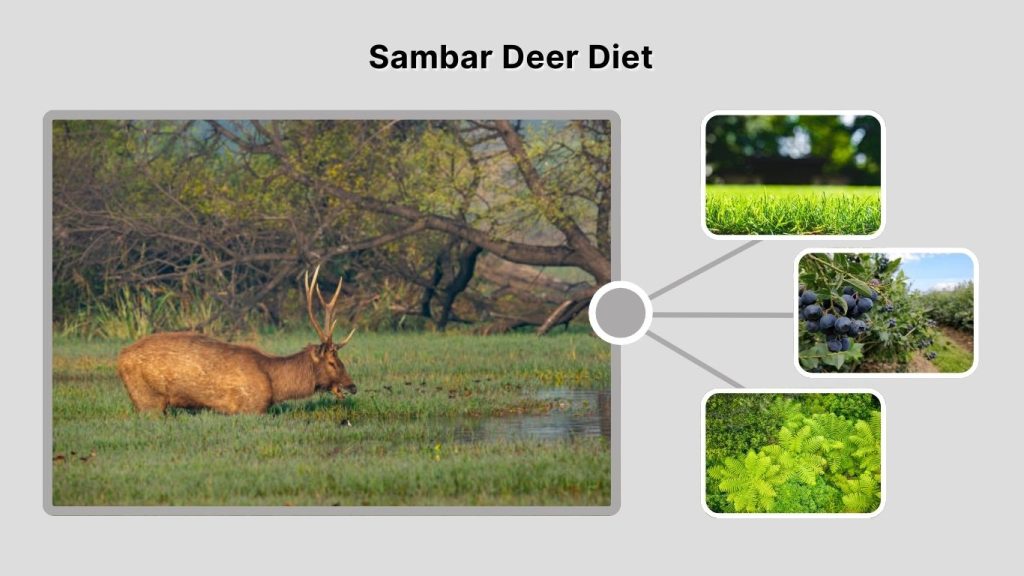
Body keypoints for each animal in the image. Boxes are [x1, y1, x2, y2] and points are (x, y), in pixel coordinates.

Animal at [116, 266, 357, 414]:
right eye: (332, 362)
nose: (353, 386)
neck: (276, 384)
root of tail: (120, 357)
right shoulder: (251, 408)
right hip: (148, 399)